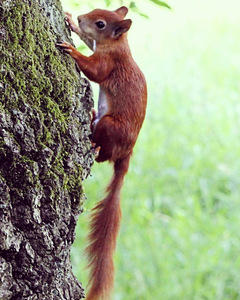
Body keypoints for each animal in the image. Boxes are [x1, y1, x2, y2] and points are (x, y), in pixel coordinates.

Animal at [57, 5, 147, 298]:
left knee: (103, 156)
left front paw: (72, 51)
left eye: (100, 23)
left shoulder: (109, 63)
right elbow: (87, 42)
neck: (119, 44)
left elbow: (95, 71)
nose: (81, 17)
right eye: (97, 11)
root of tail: (126, 154)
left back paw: (95, 144)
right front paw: (70, 21)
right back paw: (92, 115)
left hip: (112, 128)